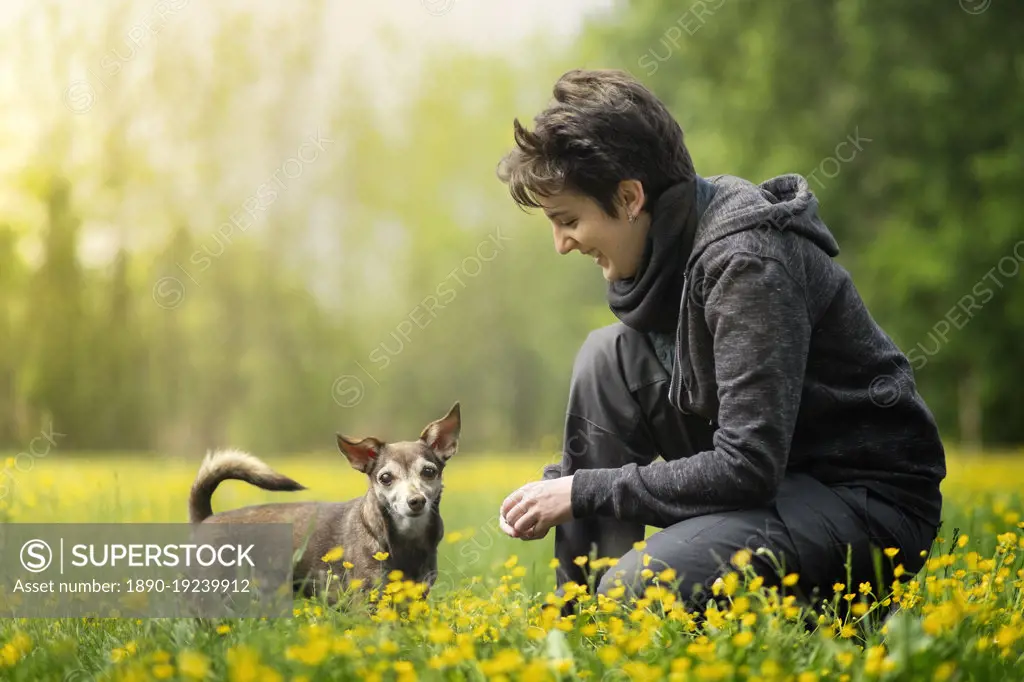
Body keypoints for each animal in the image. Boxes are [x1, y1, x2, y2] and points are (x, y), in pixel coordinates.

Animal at [188, 401, 460, 602]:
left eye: (429, 472)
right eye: (385, 478)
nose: (416, 501)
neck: (406, 539)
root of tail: (206, 518)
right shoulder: (366, 600)